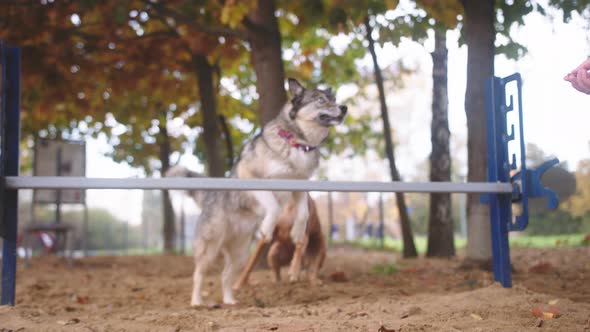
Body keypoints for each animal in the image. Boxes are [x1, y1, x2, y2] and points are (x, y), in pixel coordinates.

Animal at [170, 78, 346, 306]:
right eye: (321, 100)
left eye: (334, 99)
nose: (344, 108)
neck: (297, 143)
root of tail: (210, 197)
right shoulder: (252, 176)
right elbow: (272, 205)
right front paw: (267, 227)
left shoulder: (299, 185)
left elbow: (303, 213)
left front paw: (297, 232)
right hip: (210, 248)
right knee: (198, 274)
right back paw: (196, 302)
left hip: (240, 253)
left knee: (226, 275)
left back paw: (230, 301)